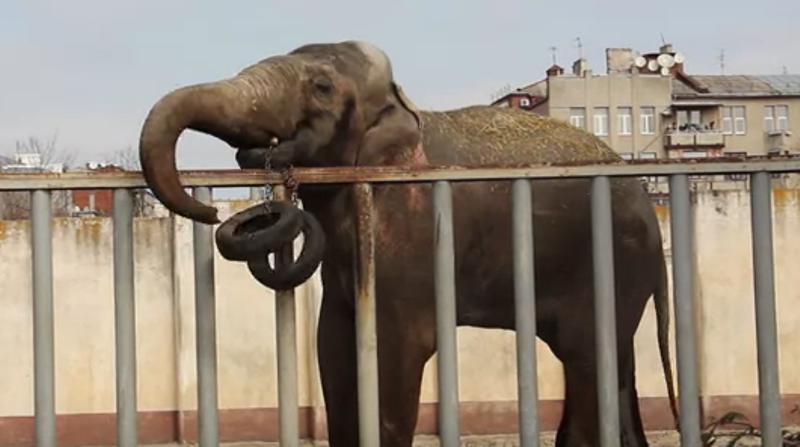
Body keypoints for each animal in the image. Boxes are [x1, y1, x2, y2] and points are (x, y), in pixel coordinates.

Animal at [141, 40, 680, 446]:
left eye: (321, 87)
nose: (214, 213)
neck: (403, 106)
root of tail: (649, 212)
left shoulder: (409, 233)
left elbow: (397, 351)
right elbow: (332, 346)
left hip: (612, 262)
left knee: (587, 355)